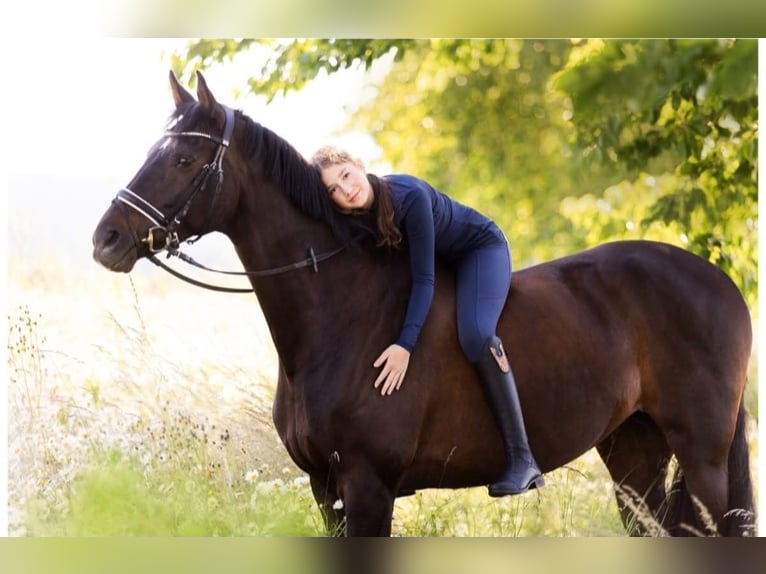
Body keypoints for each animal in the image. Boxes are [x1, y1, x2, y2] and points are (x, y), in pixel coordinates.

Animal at [91, 73, 756, 540]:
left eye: (183, 159)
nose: (107, 239)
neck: (339, 316)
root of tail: (716, 279)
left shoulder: (367, 487)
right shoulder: (325, 488)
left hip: (703, 454)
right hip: (634, 452)